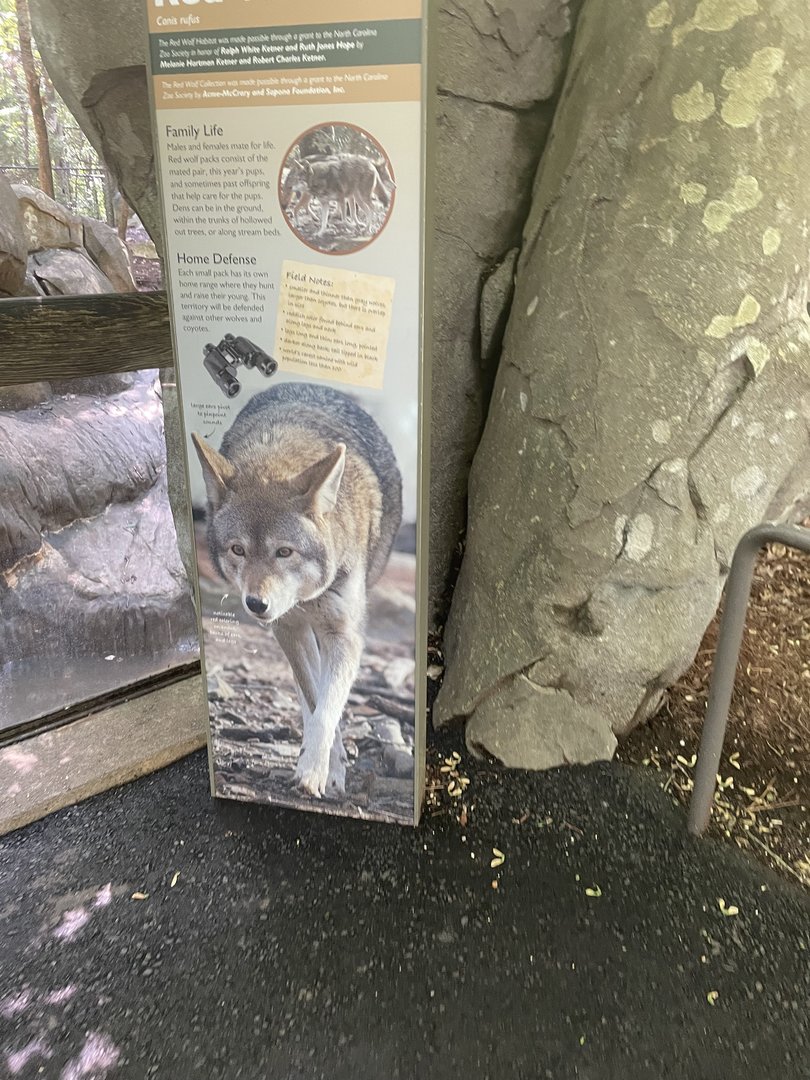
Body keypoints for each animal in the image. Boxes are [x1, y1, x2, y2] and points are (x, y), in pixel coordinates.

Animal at [192, 383, 402, 798]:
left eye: (284, 551)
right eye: (238, 550)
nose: (256, 604)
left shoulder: (344, 634)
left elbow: (328, 708)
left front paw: (314, 771)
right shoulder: (287, 628)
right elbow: (316, 700)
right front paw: (325, 767)